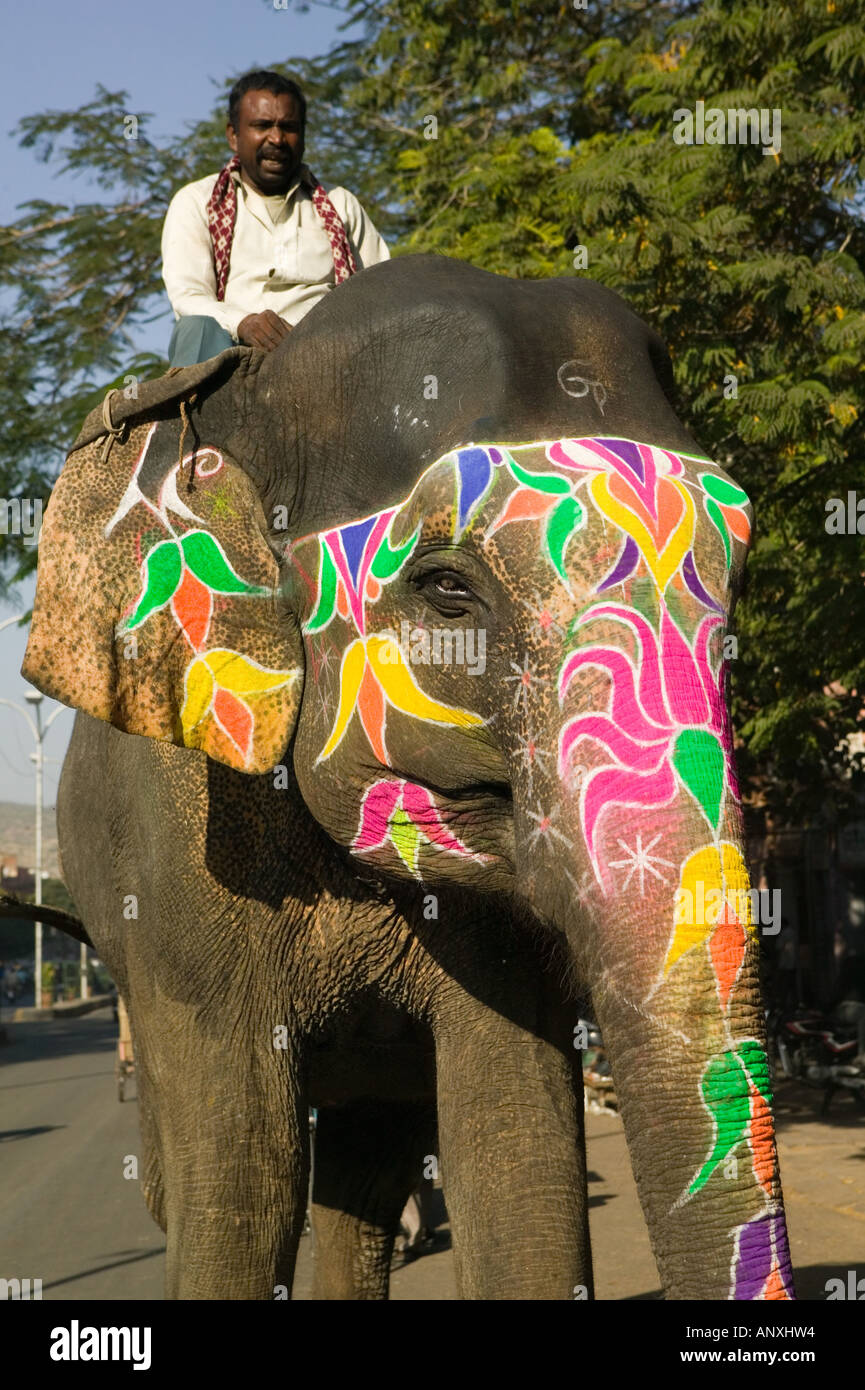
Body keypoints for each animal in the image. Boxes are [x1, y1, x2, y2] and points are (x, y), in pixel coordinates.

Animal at [24, 253, 794, 1301]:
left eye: (739, 582)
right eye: (445, 589)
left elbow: (517, 1166)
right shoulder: (178, 844)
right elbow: (243, 1181)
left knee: (365, 1173)